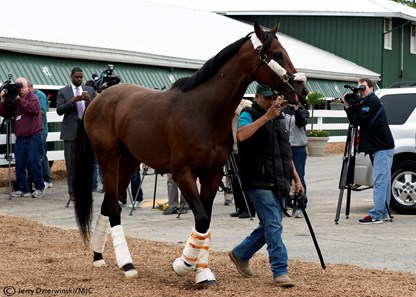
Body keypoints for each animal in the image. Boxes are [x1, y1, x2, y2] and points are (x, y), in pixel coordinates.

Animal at [73, 20, 308, 284]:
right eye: (277, 54)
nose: (302, 90)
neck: (203, 110)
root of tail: (98, 99)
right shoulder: (183, 174)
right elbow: (202, 219)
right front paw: (183, 265)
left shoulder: (212, 174)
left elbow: (204, 222)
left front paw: (202, 272)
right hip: (108, 158)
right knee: (113, 208)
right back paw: (127, 264)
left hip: (130, 161)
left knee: (107, 205)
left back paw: (98, 256)